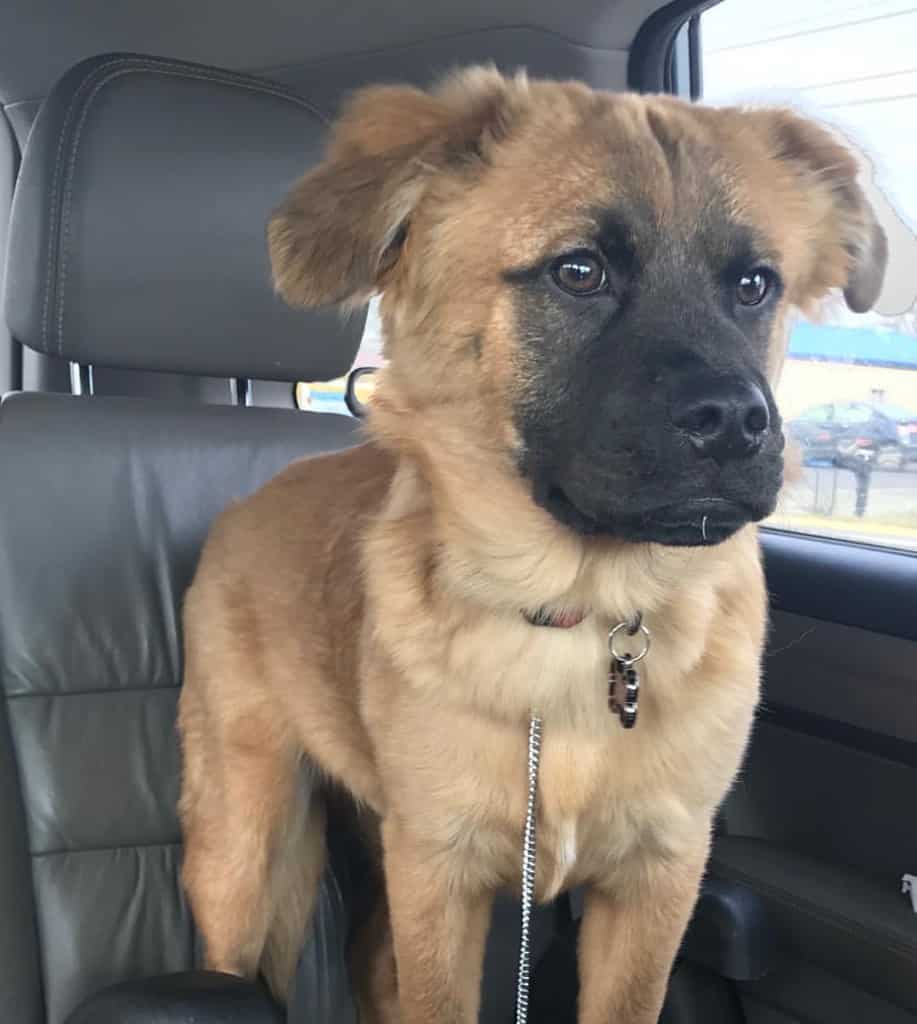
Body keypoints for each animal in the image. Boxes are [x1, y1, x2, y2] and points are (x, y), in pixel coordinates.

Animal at [177, 70, 888, 1024]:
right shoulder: (437, 872)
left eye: (753, 285)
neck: (581, 616)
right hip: (243, 848)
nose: (740, 423)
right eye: (578, 272)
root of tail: (246, 499)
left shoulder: (656, 879)